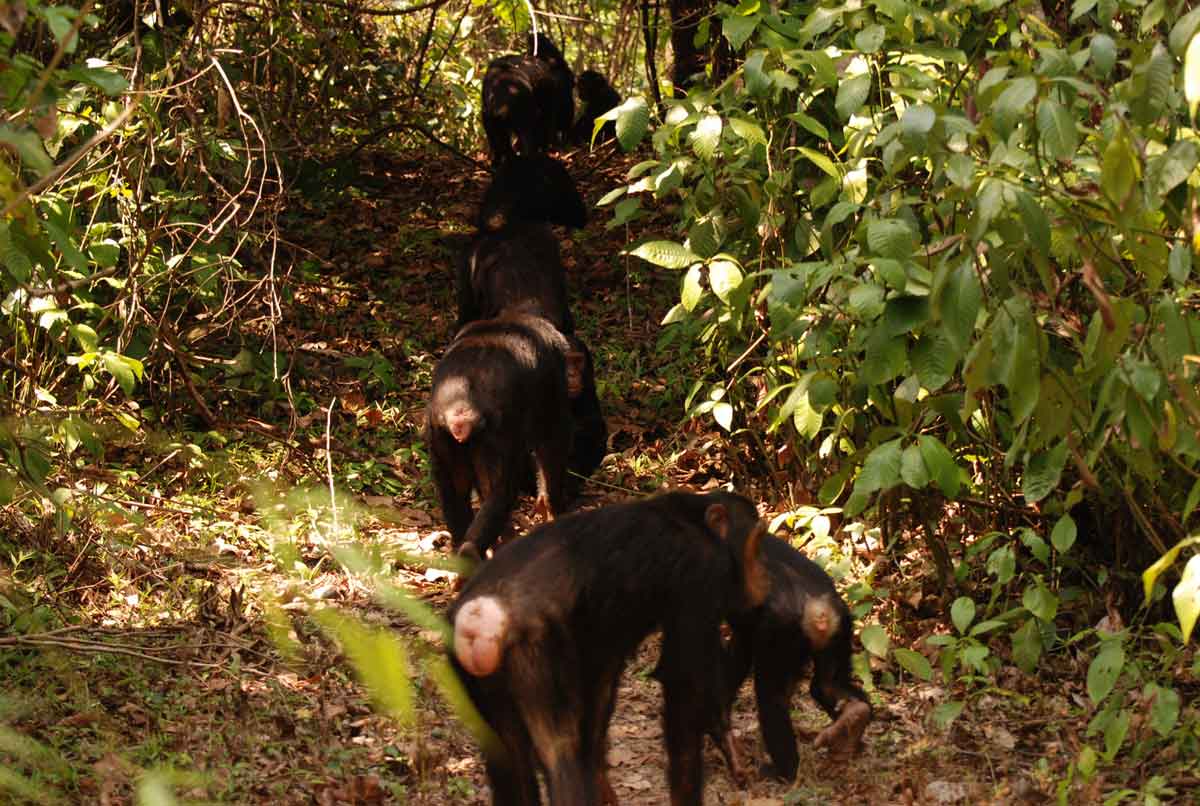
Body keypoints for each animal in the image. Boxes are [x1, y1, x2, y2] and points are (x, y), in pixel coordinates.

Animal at [422, 311, 571, 563]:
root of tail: (459, 411)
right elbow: (552, 447)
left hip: (441, 435)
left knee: (455, 491)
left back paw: (464, 552)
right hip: (493, 435)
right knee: (501, 489)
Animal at [448, 486, 768, 806]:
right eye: (756, 545)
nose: (760, 576)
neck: (696, 522)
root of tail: (483, 613)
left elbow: (601, 685)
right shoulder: (701, 574)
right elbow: (683, 688)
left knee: (508, 756)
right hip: (535, 652)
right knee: (561, 752)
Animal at [715, 534, 878, 782]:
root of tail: (819, 612)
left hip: (780, 632)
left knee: (772, 698)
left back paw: (784, 772)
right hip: (840, 627)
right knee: (825, 684)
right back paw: (852, 727)